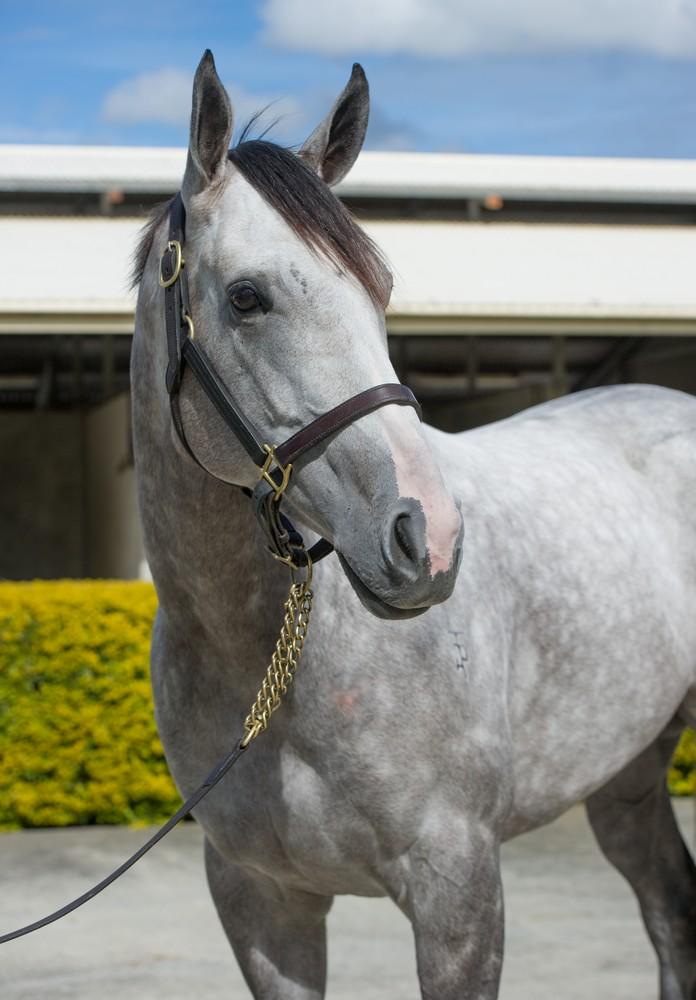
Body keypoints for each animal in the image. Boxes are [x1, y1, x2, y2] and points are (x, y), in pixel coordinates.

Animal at [131, 51, 696, 1000]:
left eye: (382, 289)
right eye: (246, 298)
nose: (426, 538)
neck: (271, 663)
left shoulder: (456, 889)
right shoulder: (260, 904)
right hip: (627, 779)